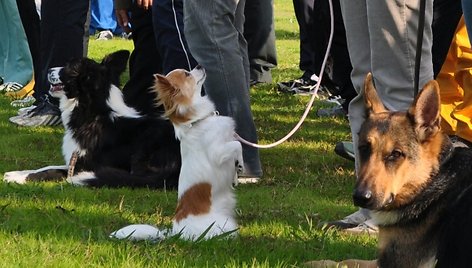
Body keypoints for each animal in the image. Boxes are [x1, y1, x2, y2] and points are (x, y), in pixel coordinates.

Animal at [4, 50, 182, 188]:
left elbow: (51, 171)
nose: (48, 70)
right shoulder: (74, 159)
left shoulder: (84, 165)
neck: (94, 113)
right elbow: (47, 166)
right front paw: (17, 172)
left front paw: (19, 177)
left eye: (69, 67)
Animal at [306, 73, 472, 268]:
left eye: (396, 154)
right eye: (363, 148)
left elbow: (346, 261)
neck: (430, 181)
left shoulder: (390, 263)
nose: (361, 197)